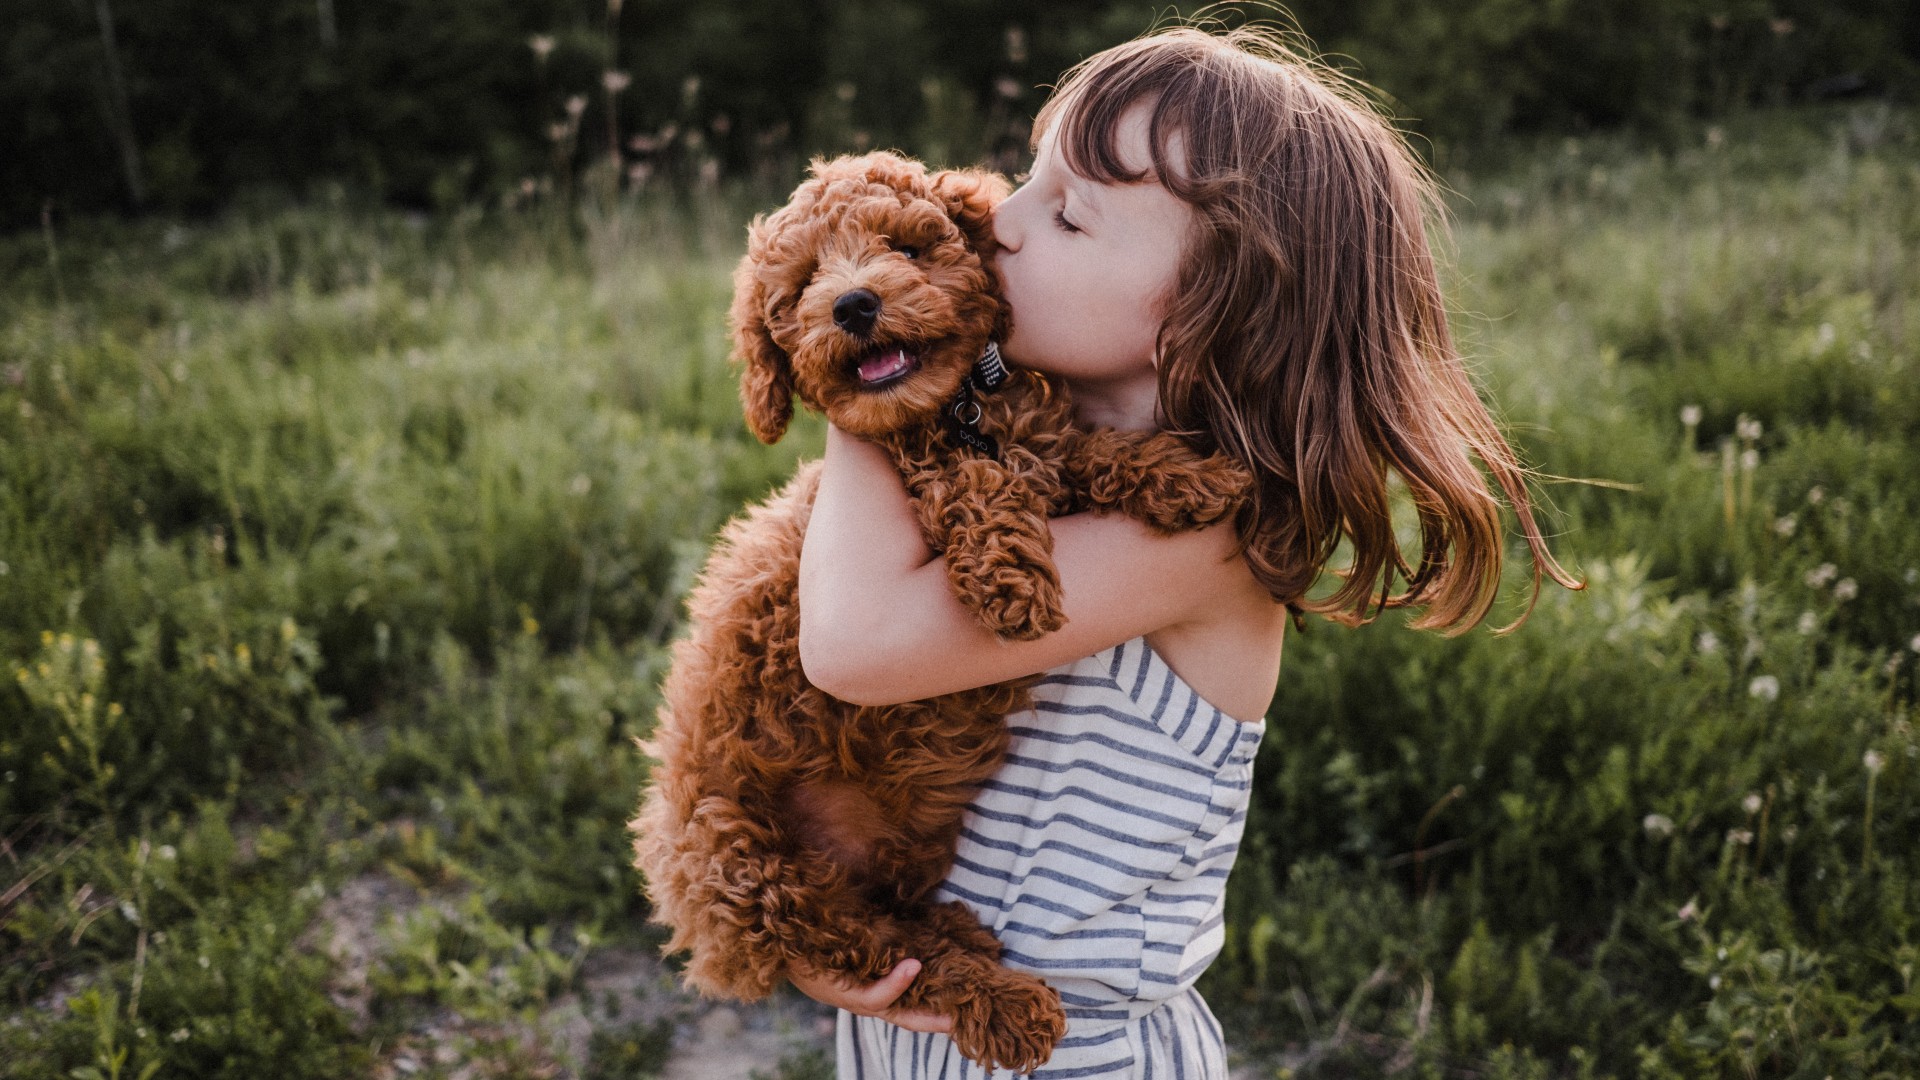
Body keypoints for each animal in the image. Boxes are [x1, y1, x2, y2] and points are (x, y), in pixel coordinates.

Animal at [637, 151, 1251, 1068]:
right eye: (805, 283)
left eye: (904, 247)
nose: (854, 304)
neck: (948, 415)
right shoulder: (930, 485)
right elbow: (976, 484)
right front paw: (1013, 579)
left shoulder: (1037, 440)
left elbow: (1083, 451)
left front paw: (1186, 474)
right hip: (753, 871)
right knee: (889, 959)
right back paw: (1004, 1002)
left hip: (890, 847)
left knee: (899, 925)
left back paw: (967, 935)